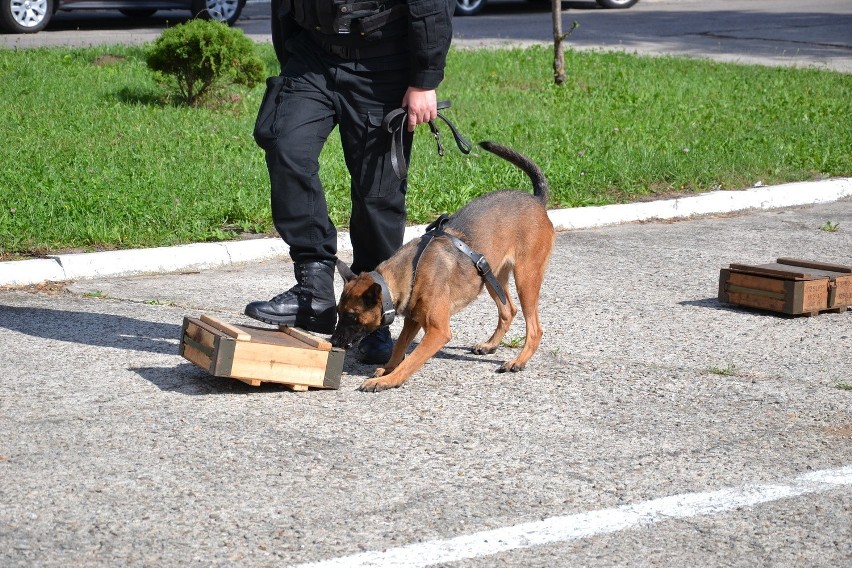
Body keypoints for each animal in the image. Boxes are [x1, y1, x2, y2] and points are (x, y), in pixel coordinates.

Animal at [330, 141, 556, 390]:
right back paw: (490, 345)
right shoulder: (412, 320)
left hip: (525, 278)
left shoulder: (438, 332)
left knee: (535, 328)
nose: (333, 341)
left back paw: (518, 361)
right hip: (491, 276)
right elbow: (399, 347)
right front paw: (387, 369)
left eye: (352, 315)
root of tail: (537, 201)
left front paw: (389, 379)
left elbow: (411, 361)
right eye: (338, 312)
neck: (411, 271)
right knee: (509, 310)